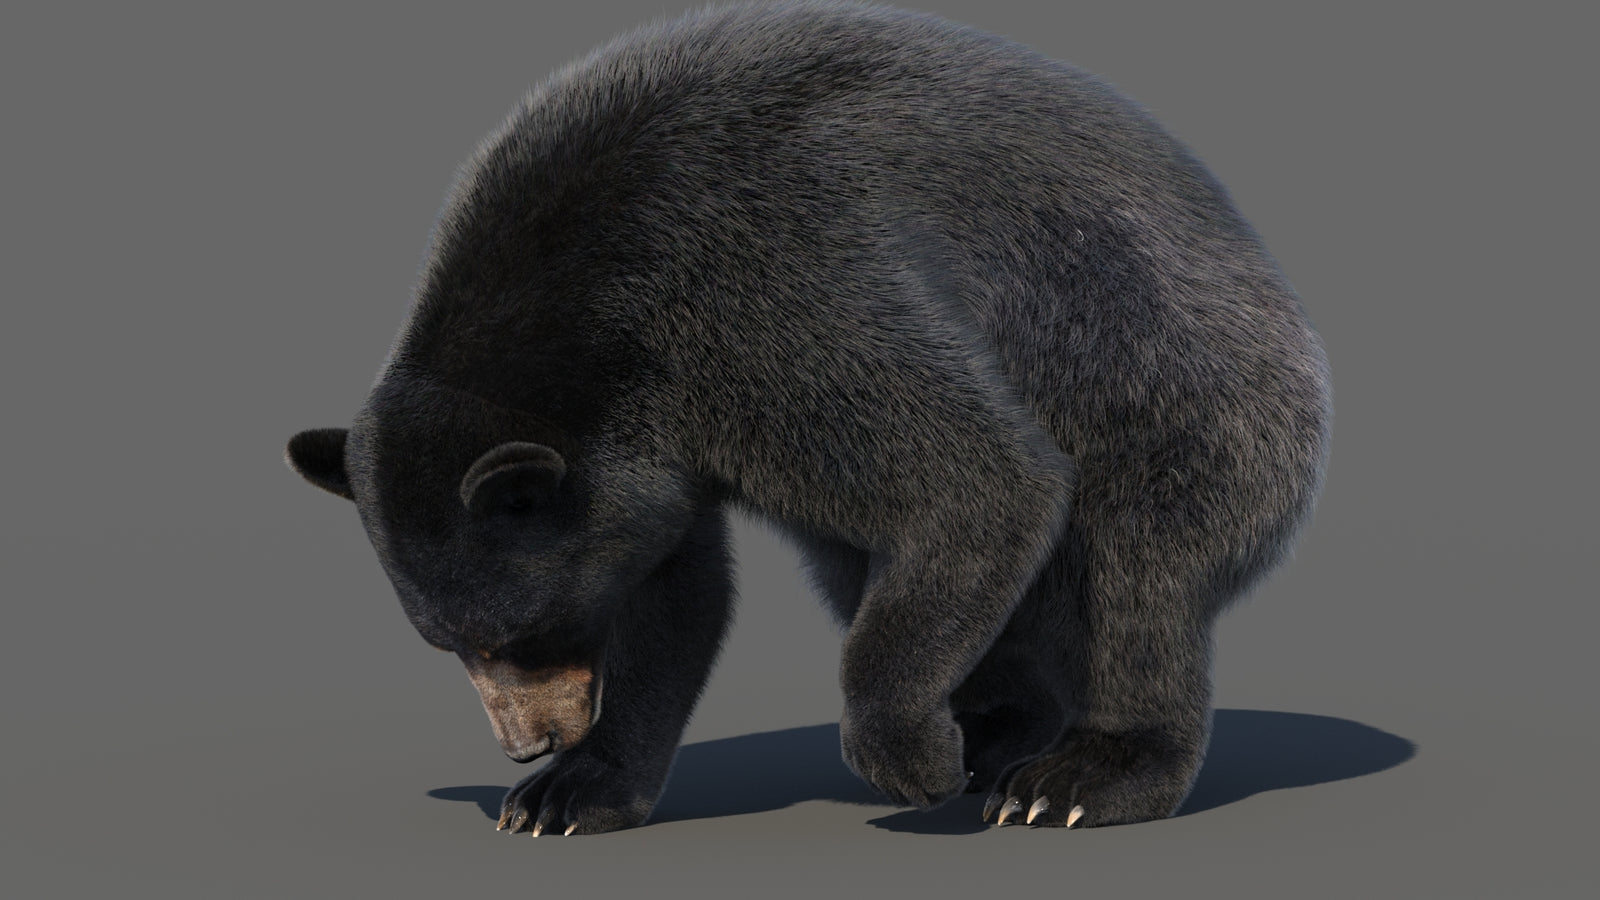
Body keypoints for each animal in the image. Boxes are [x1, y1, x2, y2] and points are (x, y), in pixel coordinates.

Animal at [286, 0, 1331, 836]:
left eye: (523, 633)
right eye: (450, 643)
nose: (527, 743)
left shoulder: (772, 294)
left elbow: (981, 477)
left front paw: (910, 758)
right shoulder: (654, 434)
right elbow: (675, 588)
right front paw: (569, 794)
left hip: (1179, 387)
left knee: (1139, 574)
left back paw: (1077, 776)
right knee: (867, 565)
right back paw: (995, 724)